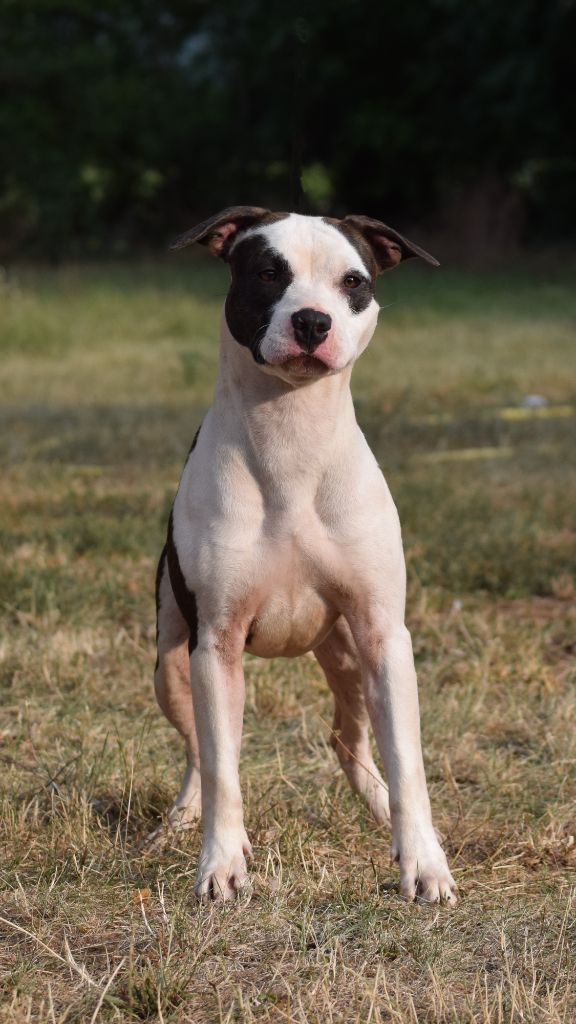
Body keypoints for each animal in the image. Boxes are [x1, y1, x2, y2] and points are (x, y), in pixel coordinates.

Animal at [152, 205, 457, 905]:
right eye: (268, 273)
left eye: (354, 282)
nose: (313, 321)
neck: (292, 436)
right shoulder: (216, 643)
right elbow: (223, 769)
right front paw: (220, 864)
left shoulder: (383, 635)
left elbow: (409, 761)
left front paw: (425, 864)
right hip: (171, 664)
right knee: (200, 754)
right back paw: (179, 820)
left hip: (349, 658)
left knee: (350, 741)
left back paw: (382, 809)